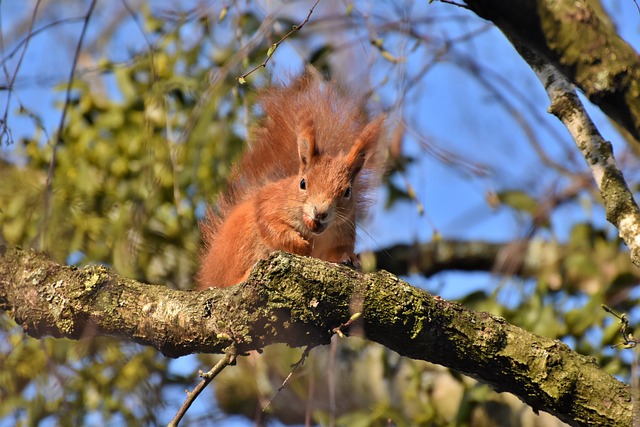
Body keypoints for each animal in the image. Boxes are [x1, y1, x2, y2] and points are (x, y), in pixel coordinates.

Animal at [195, 73, 384, 290]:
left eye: (347, 192)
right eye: (302, 183)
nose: (320, 212)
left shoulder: (342, 233)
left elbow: (336, 253)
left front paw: (350, 257)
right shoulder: (268, 204)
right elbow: (272, 227)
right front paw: (301, 245)